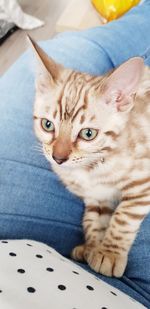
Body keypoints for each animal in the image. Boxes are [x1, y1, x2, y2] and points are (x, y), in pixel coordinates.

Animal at [29, 36, 150, 276]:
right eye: (47, 125)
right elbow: (94, 219)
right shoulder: (96, 197)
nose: (58, 158)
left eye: (88, 134)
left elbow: (123, 218)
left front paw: (109, 253)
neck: (90, 172)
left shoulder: (143, 183)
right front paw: (92, 247)